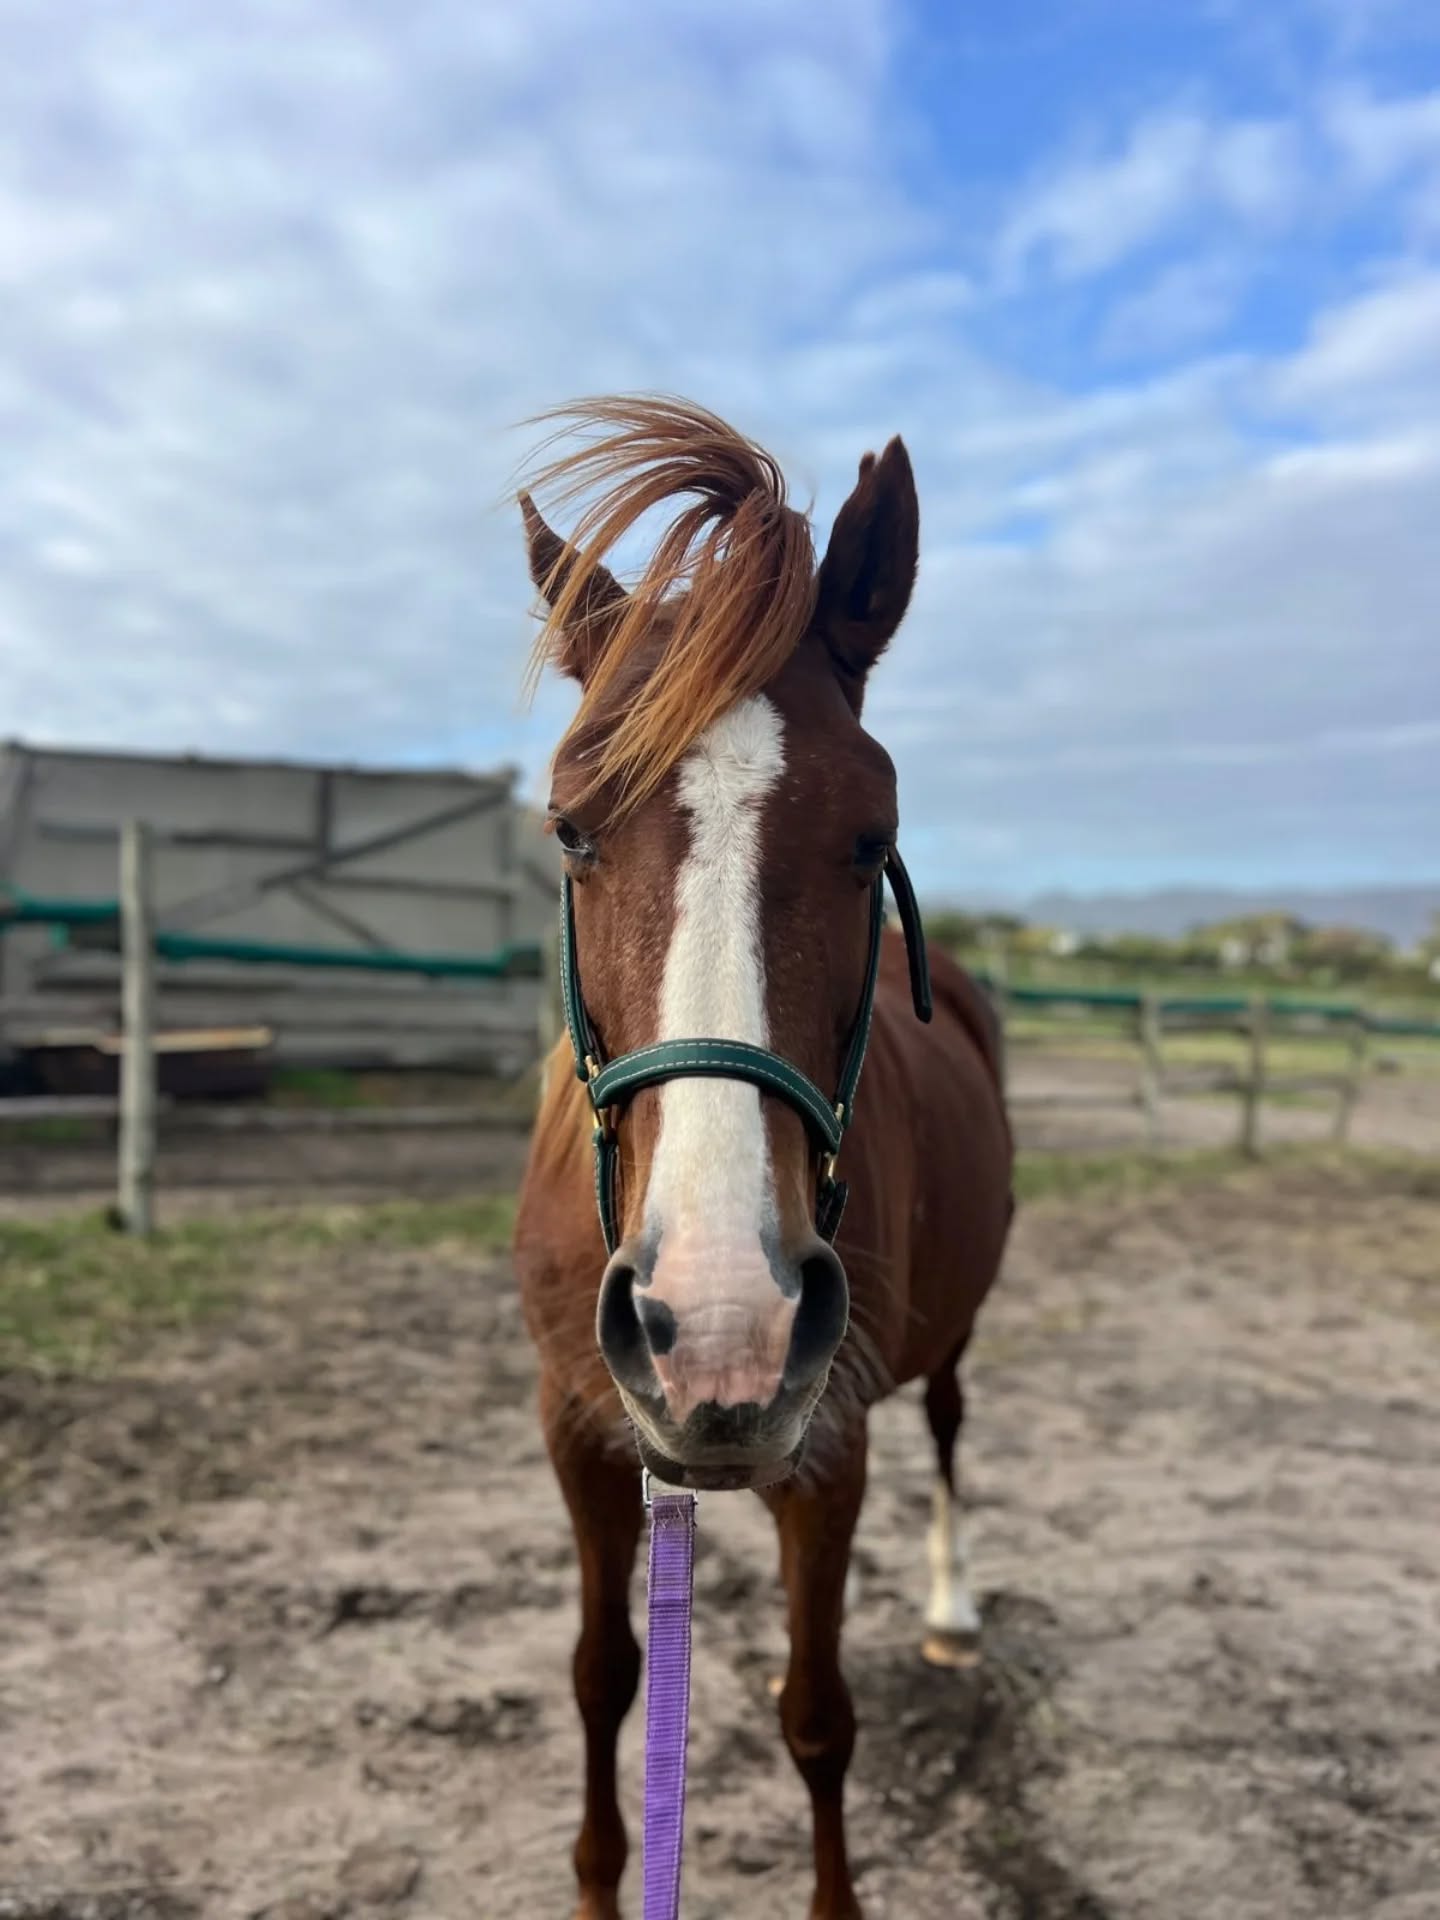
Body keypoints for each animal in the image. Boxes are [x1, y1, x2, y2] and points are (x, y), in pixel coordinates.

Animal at [513, 396, 1014, 1920]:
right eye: (570, 824)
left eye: (872, 835)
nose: (723, 1326)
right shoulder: (580, 1434)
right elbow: (603, 1678)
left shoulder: (829, 1447)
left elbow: (816, 1718)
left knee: (954, 1431)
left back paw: (953, 1605)